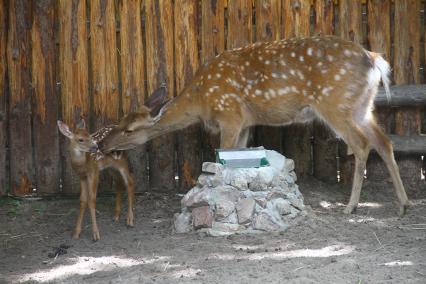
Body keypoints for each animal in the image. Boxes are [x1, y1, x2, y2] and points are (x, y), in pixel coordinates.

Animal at [99, 35, 410, 215]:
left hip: (335, 104)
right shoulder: (246, 122)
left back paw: (351, 206)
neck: (201, 100)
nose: (101, 143)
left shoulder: (230, 114)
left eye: (129, 129)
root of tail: (375, 60)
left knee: (361, 144)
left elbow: (220, 158)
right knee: (384, 141)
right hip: (362, 106)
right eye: (119, 120)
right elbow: (236, 159)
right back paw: (404, 205)